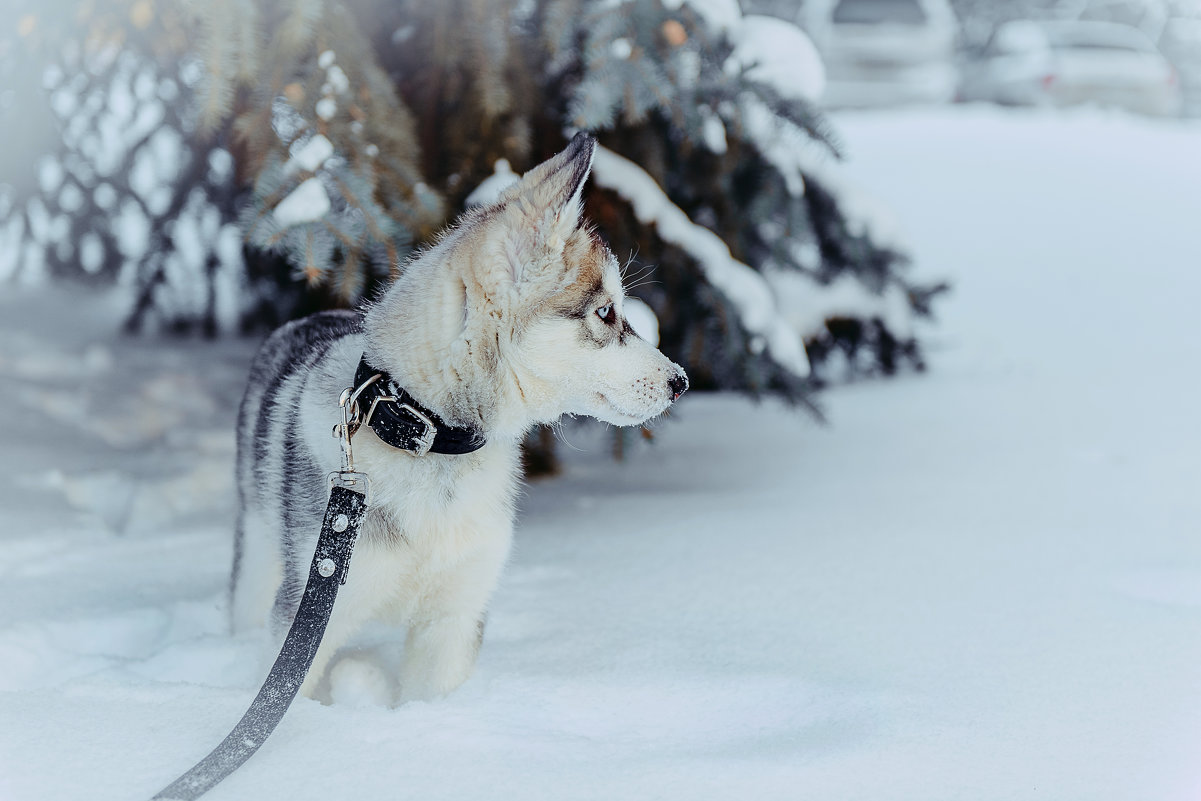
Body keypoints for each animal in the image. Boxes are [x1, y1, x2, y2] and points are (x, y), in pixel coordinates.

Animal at [229, 134, 691, 706]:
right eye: (606, 313)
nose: (681, 381)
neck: (429, 438)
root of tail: (311, 317)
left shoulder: (455, 616)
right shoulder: (310, 613)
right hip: (258, 564)